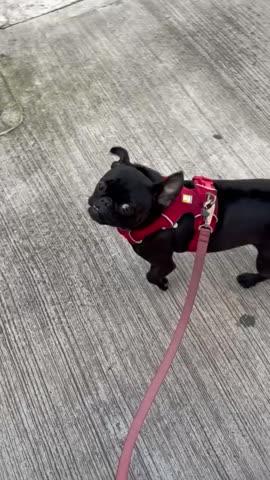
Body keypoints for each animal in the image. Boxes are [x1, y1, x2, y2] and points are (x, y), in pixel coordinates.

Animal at [88, 146, 270, 290]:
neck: (158, 214)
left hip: (264, 257)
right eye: (101, 186)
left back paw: (249, 279)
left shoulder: (163, 262)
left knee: (266, 273)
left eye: (126, 208)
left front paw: (162, 283)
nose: (104, 202)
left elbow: (151, 276)